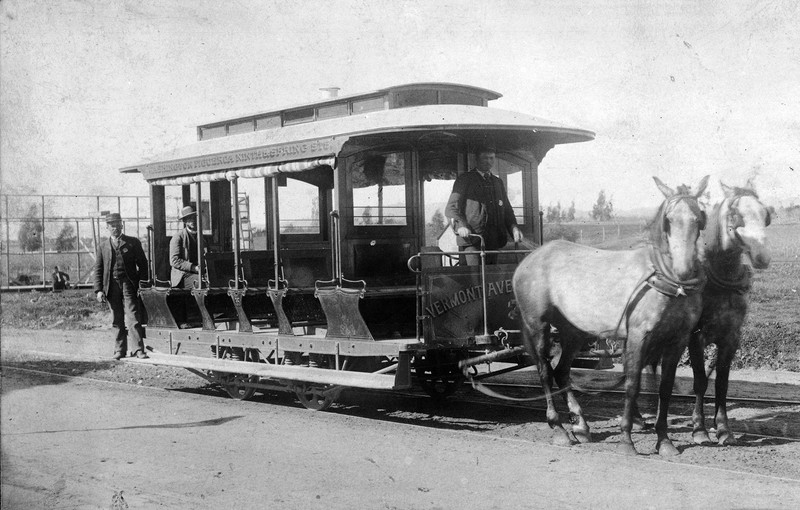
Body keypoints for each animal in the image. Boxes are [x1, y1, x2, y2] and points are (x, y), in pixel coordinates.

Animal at [512, 175, 708, 454]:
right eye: (668, 220)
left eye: (699, 218)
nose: (684, 270)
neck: (665, 280)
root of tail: (532, 256)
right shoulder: (638, 336)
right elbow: (632, 385)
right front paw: (627, 439)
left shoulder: (677, 340)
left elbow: (666, 388)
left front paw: (664, 440)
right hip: (537, 326)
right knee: (544, 372)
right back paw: (559, 428)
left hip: (573, 332)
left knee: (561, 371)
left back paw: (581, 425)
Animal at [692, 181, 772, 444]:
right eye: (734, 215)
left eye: (765, 215)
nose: (762, 256)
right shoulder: (694, 338)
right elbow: (700, 381)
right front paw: (699, 430)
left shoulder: (731, 338)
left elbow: (722, 384)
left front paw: (724, 430)